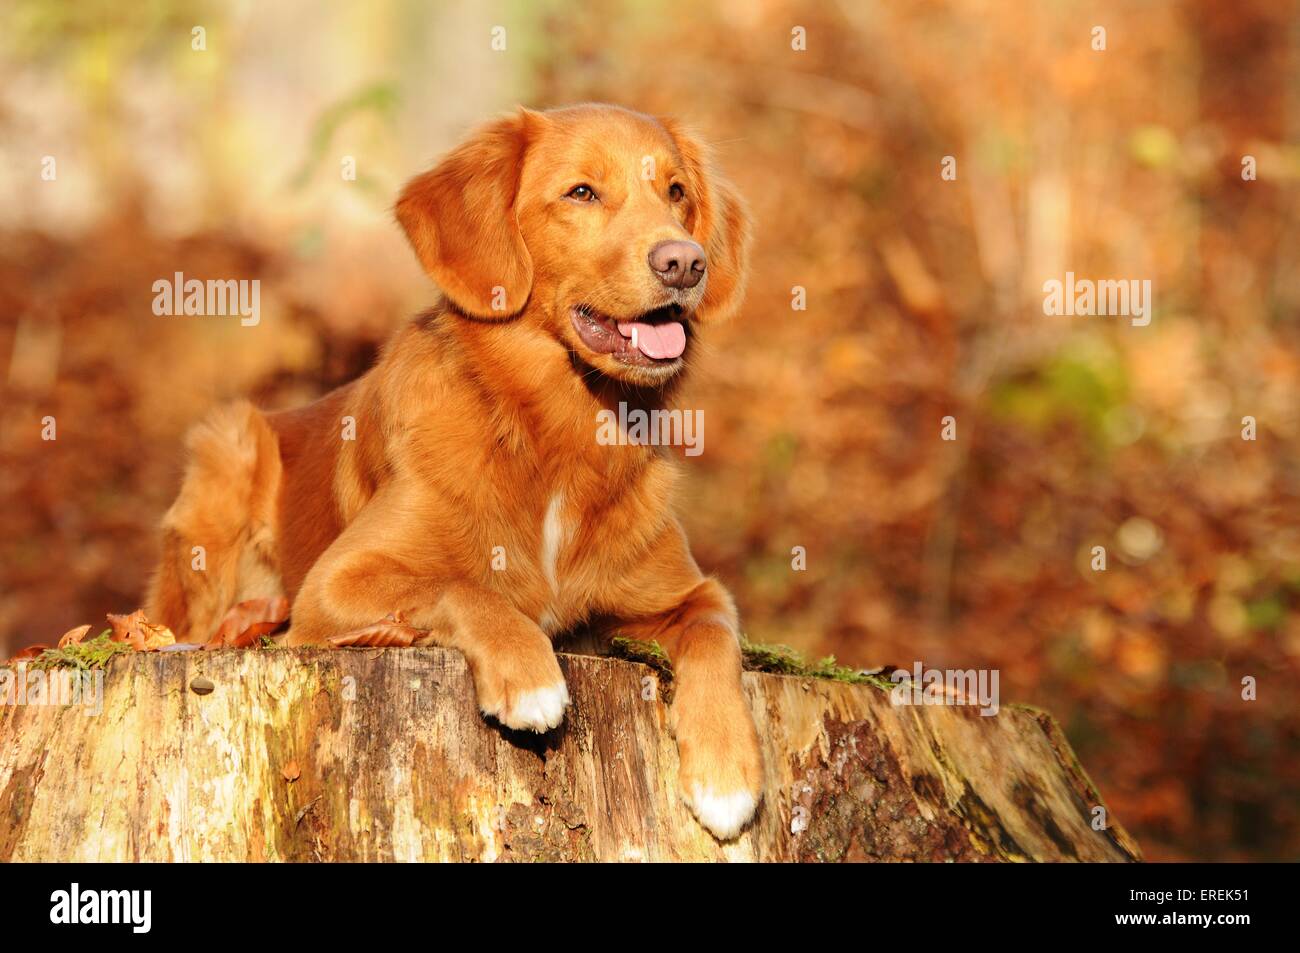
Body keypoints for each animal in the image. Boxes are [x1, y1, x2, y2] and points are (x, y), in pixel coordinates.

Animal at [146, 100, 759, 837]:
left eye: (676, 193)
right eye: (581, 192)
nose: (685, 262)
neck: (556, 432)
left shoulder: (682, 592)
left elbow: (715, 631)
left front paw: (727, 774)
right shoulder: (334, 583)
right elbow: (464, 587)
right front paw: (530, 675)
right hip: (228, 449)